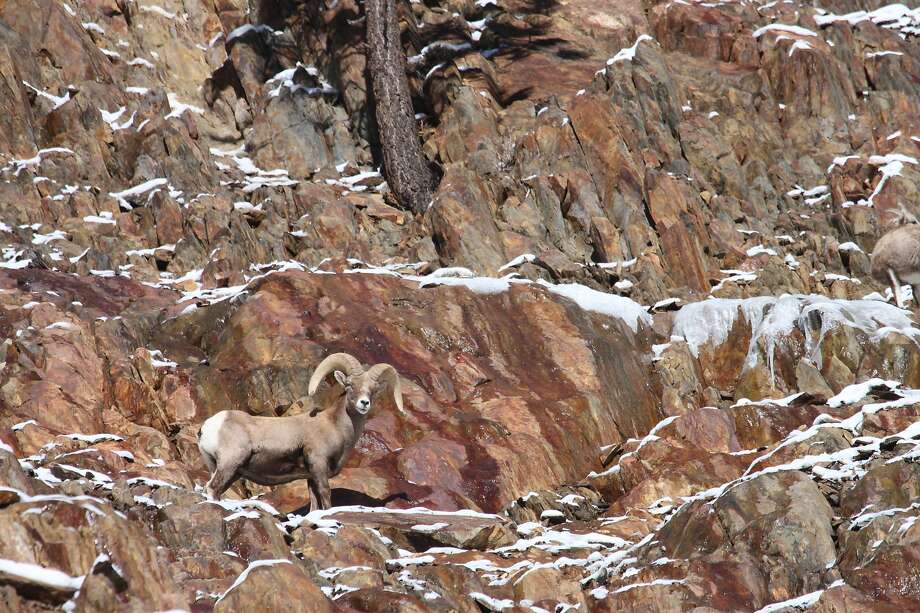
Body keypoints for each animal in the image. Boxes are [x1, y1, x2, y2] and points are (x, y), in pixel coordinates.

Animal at [198, 352, 402, 510]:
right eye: (350, 385)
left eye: (373, 390)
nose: (364, 403)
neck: (335, 426)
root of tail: (209, 426)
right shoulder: (319, 467)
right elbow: (326, 497)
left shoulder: (311, 477)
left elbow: (314, 504)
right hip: (230, 464)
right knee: (212, 488)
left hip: (228, 470)